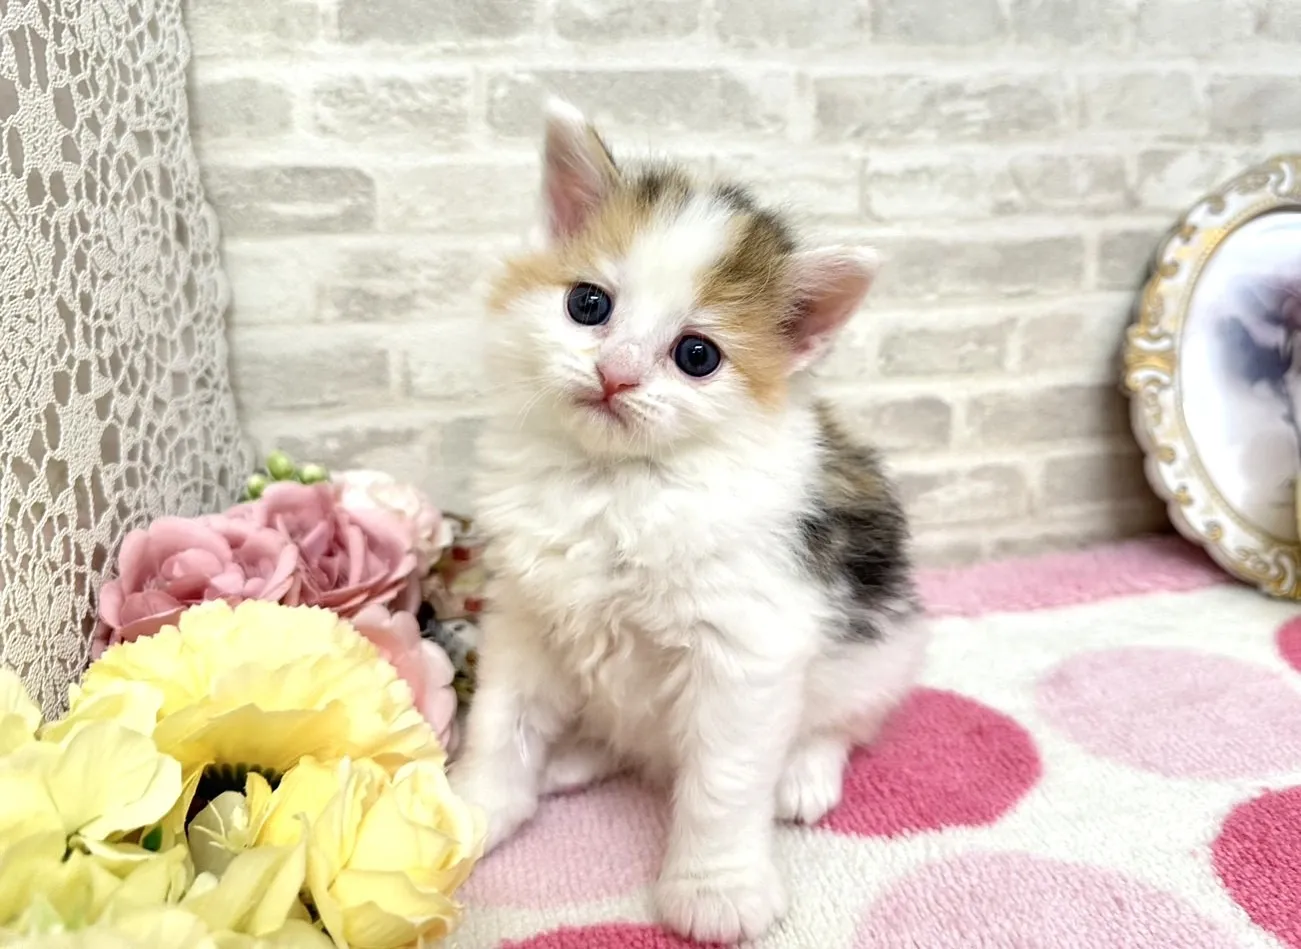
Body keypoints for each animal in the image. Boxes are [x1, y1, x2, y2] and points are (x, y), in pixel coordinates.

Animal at [448, 99, 928, 944]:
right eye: (588, 305)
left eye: (696, 354)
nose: (615, 374)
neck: (615, 482)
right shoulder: (524, 615)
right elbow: (502, 721)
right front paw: (473, 808)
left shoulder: (746, 645)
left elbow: (722, 780)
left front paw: (716, 889)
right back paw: (576, 755)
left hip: (882, 645)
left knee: (843, 720)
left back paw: (804, 771)